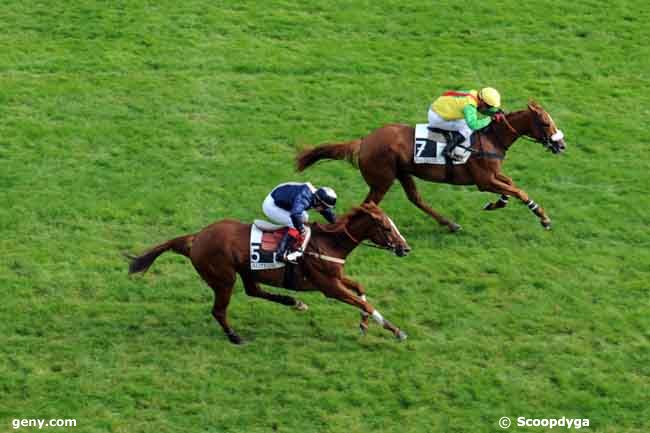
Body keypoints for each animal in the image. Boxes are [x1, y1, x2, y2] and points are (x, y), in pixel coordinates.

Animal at [126, 202, 410, 344]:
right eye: (386, 227)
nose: (405, 248)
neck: (330, 243)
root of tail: (196, 238)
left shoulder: (336, 278)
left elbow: (361, 290)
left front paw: (363, 324)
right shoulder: (329, 286)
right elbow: (366, 303)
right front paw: (396, 331)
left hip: (245, 271)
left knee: (254, 291)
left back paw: (294, 302)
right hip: (224, 279)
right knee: (219, 310)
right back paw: (235, 336)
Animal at [296, 101, 564, 231]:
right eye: (544, 122)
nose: (561, 145)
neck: (491, 137)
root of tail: (363, 142)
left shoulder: (494, 176)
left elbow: (512, 188)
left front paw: (496, 203)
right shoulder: (484, 180)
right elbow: (519, 191)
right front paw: (544, 218)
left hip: (402, 173)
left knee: (416, 198)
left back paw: (450, 224)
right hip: (382, 180)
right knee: (369, 204)